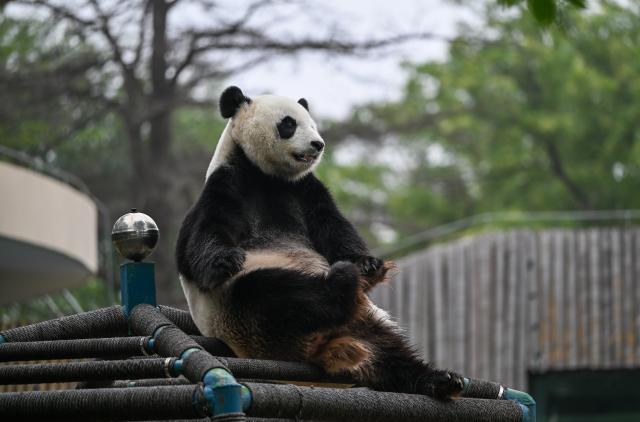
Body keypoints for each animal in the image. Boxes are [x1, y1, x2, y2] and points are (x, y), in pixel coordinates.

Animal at [176, 86, 464, 399]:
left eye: (312, 124)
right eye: (289, 124)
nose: (318, 144)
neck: (266, 175)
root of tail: (326, 342)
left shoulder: (304, 189)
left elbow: (332, 225)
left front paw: (369, 265)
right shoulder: (227, 184)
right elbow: (201, 238)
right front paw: (226, 259)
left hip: (366, 324)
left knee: (391, 355)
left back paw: (440, 379)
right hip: (244, 315)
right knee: (277, 294)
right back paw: (341, 281)